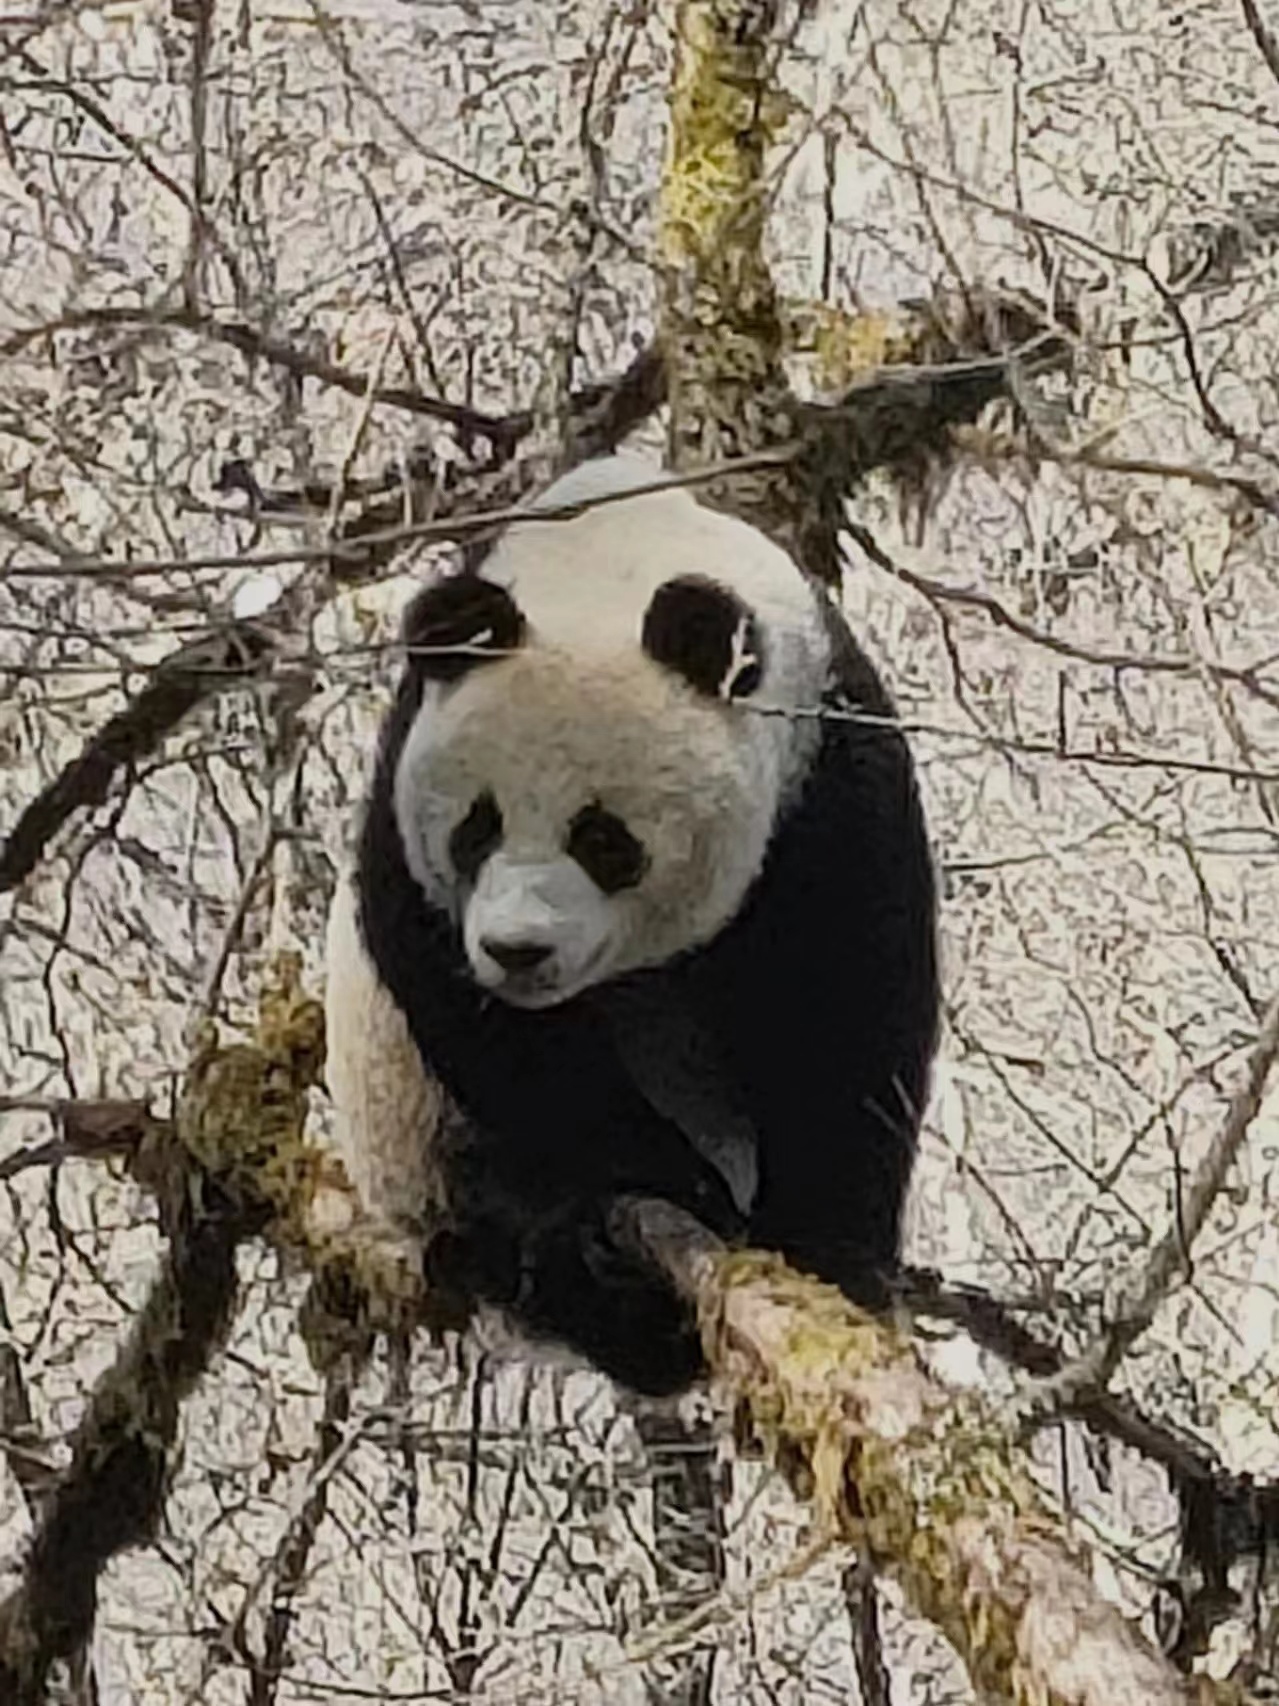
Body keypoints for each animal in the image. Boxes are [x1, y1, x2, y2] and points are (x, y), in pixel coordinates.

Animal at [325, 453, 934, 1398]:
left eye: (604, 839)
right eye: (476, 828)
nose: (517, 951)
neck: (607, 563)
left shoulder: (826, 775)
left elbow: (845, 1017)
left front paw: (828, 1258)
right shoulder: (408, 766)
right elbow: (471, 1010)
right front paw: (657, 1177)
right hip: (403, 1126)